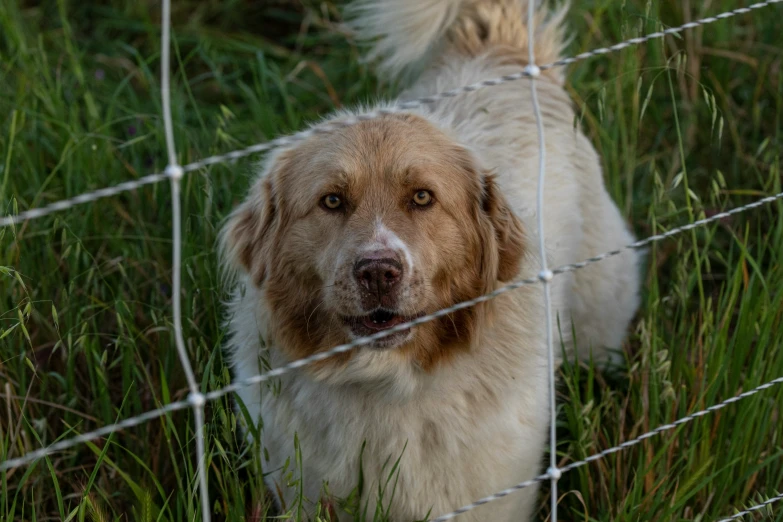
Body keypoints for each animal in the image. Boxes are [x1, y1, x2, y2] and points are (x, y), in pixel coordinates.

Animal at [220, 2, 644, 516]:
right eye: (332, 201)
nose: (378, 272)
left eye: (422, 197)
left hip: (597, 326)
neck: (384, 383)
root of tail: (495, 51)